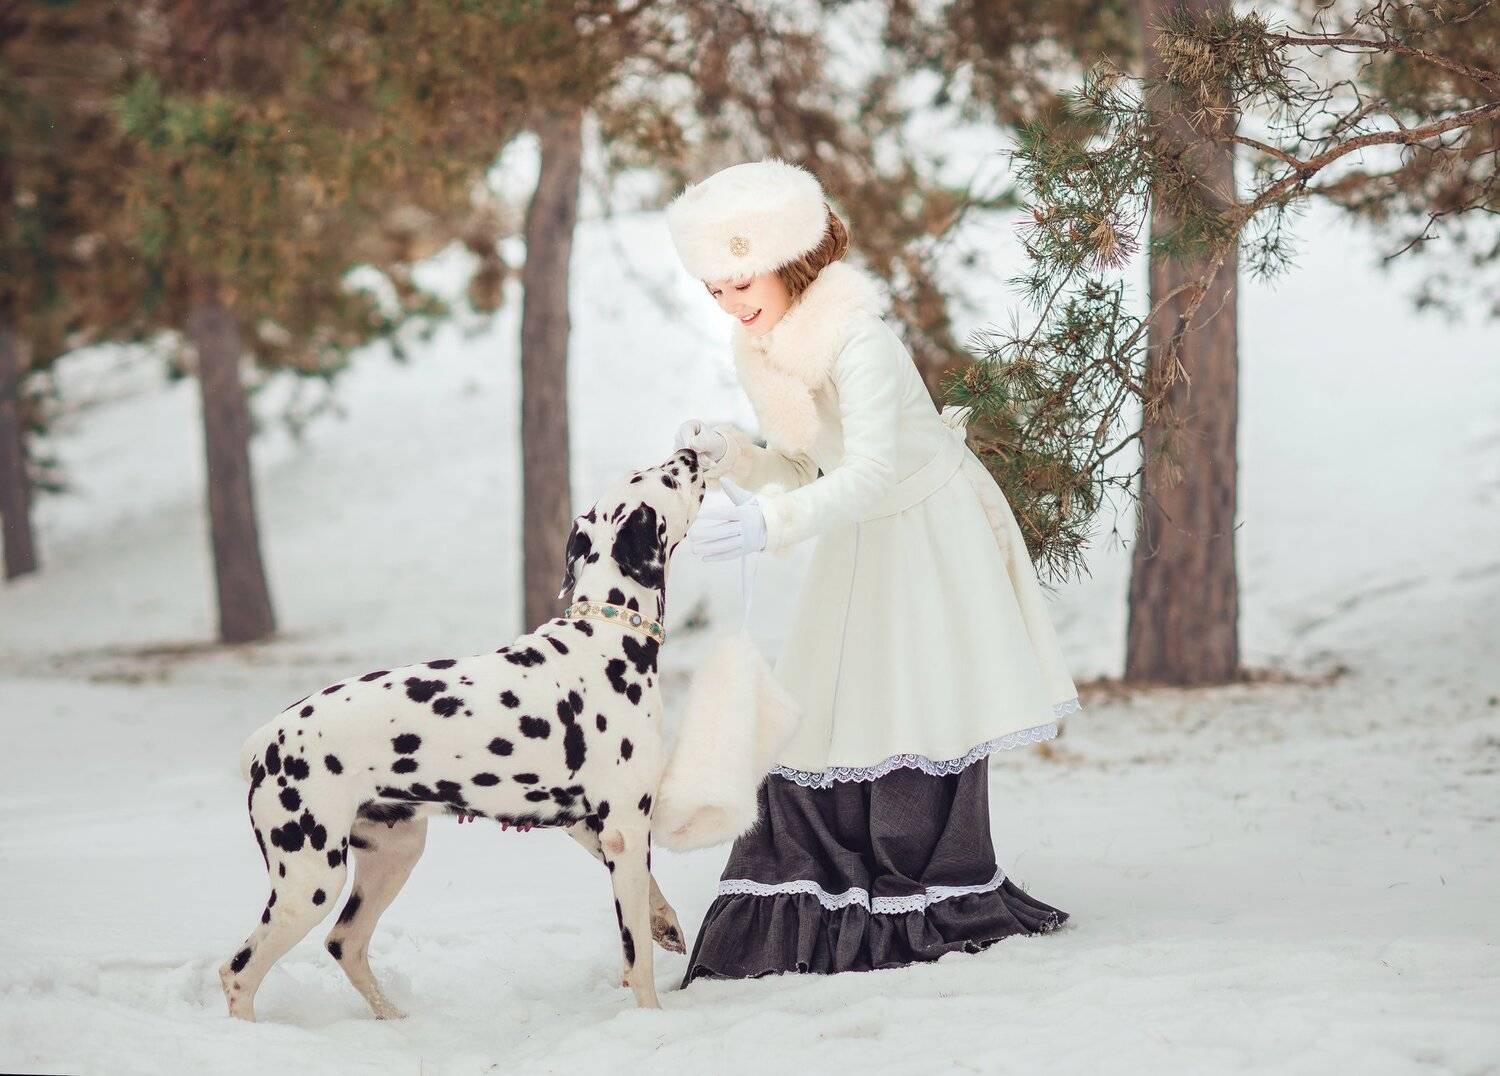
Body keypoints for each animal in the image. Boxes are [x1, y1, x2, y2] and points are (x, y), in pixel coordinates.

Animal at [220, 447, 707, 1020]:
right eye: (665, 478)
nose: (690, 452)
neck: (607, 637)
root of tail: (264, 742)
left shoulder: (592, 827)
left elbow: (651, 901)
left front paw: (665, 924)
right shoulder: (625, 829)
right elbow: (638, 960)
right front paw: (649, 1018)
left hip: (392, 857)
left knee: (345, 942)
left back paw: (394, 1020)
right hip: (311, 881)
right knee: (238, 972)